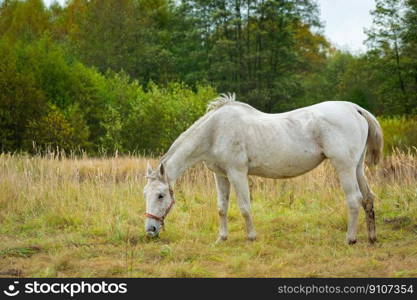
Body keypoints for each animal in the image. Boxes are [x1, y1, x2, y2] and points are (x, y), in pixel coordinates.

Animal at [145, 94, 382, 244]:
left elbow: (244, 207)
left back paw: (350, 239)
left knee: (354, 199)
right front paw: (221, 238)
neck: (215, 131)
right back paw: (371, 237)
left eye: (161, 195)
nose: (150, 230)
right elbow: (222, 208)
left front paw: (251, 237)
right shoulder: (220, 176)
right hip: (357, 168)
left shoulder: (237, 173)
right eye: (145, 194)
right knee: (368, 198)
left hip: (344, 167)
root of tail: (355, 108)